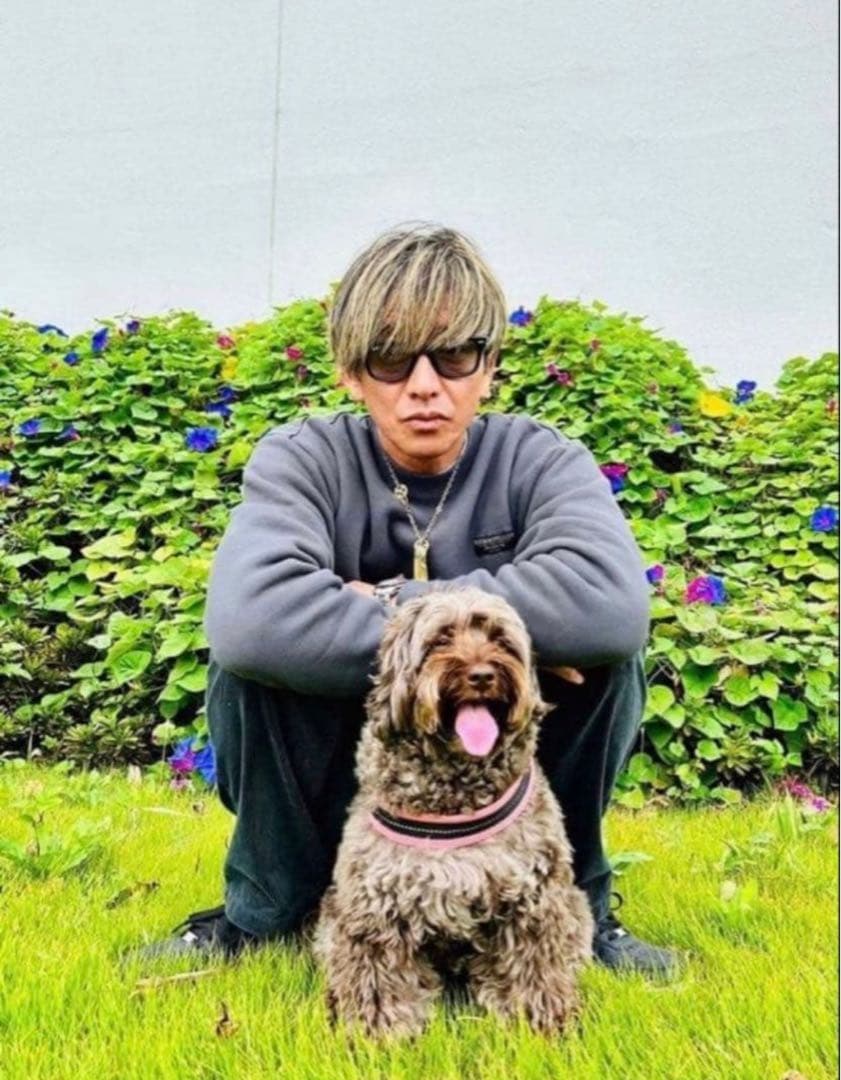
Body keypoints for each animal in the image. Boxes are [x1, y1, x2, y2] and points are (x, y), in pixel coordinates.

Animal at [312, 584, 594, 1039]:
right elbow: (377, 974)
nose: (481, 675)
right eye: (441, 639)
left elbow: (533, 963)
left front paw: (539, 1020)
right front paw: (377, 1031)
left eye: (500, 639)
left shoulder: (532, 896)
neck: (455, 793)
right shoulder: (375, 901)